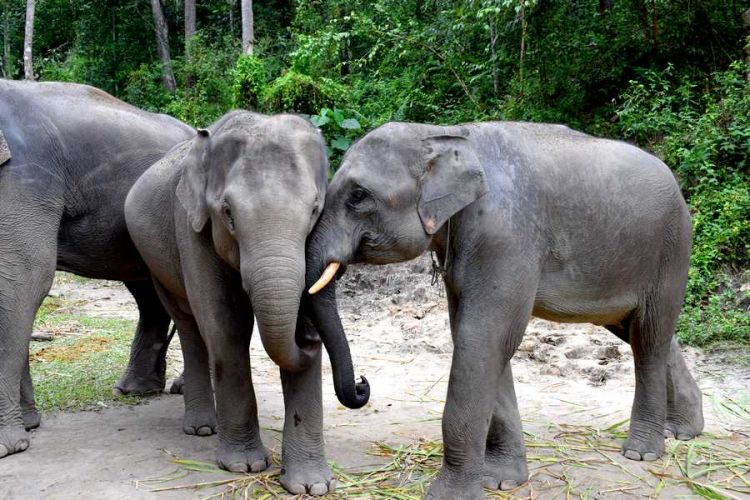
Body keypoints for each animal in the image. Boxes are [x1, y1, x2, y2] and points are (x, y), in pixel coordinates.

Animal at [0, 80, 197, 458]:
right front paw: (29, 424)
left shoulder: (24, 176)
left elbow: (25, 276)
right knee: (147, 290)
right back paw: (136, 389)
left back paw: (176, 388)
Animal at [124, 110, 370, 496]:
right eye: (228, 213)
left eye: (315, 209)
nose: (361, 384)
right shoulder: (191, 228)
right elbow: (226, 325)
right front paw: (244, 466)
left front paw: (311, 486)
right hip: (154, 261)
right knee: (189, 325)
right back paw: (202, 428)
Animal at [304, 122, 704, 500]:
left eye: (358, 196)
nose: (362, 384)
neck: (444, 134)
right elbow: (477, 337)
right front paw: (501, 480)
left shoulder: (504, 236)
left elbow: (483, 336)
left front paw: (449, 495)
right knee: (644, 332)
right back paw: (683, 430)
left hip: (671, 248)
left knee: (649, 335)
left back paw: (642, 452)